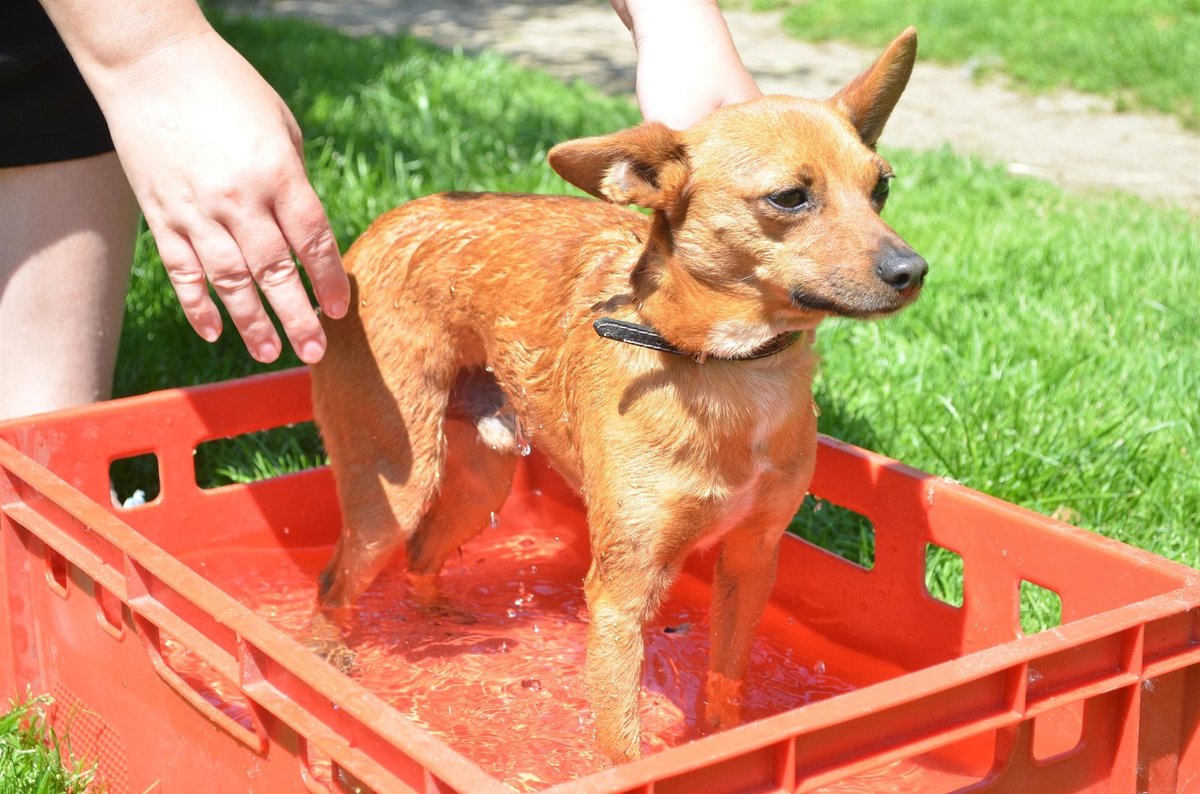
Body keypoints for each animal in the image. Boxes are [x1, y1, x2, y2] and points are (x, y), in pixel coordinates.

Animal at [312, 29, 926, 767]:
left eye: (881, 187)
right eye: (788, 197)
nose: (913, 270)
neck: (732, 370)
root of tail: (385, 222)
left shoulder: (751, 559)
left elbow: (726, 684)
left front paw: (727, 745)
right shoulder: (620, 593)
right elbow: (620, 741)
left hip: (480, 482)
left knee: (422, 554)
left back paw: (434, 617)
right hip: (396, 487)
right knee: (336, 578)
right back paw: (327, 658)